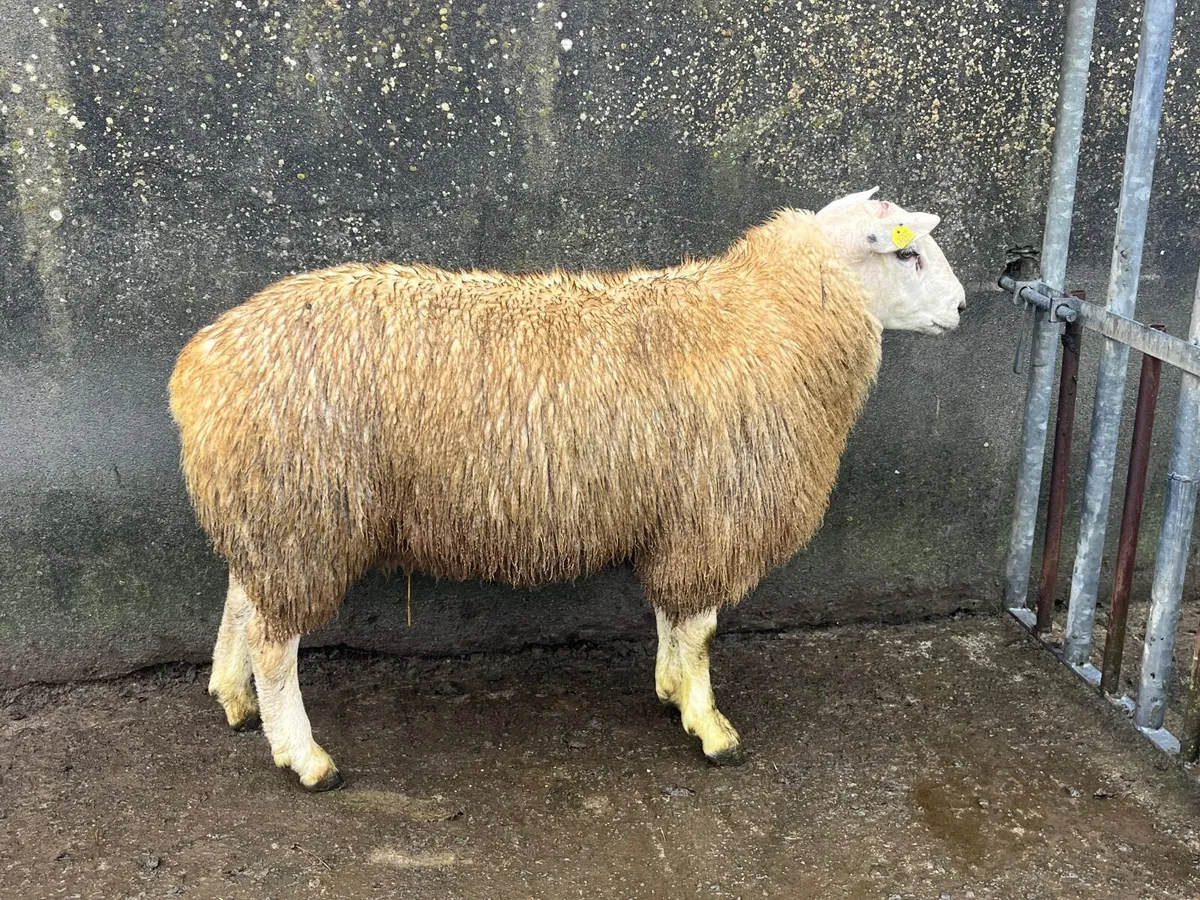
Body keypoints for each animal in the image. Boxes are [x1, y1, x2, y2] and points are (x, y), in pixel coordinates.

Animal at [168, 187, 966, 790]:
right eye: (907, 251)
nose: (962, 308)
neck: (776, 319)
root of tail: (200, 363)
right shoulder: (713, 517)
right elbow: (701, 629)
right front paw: (710, 728)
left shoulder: (679, 514)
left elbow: (675, 620)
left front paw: (671, 691)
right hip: (305, 510)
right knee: (275, 642)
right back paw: (305, 757)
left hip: (271, 511)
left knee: (243, 600)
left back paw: (235, 700)